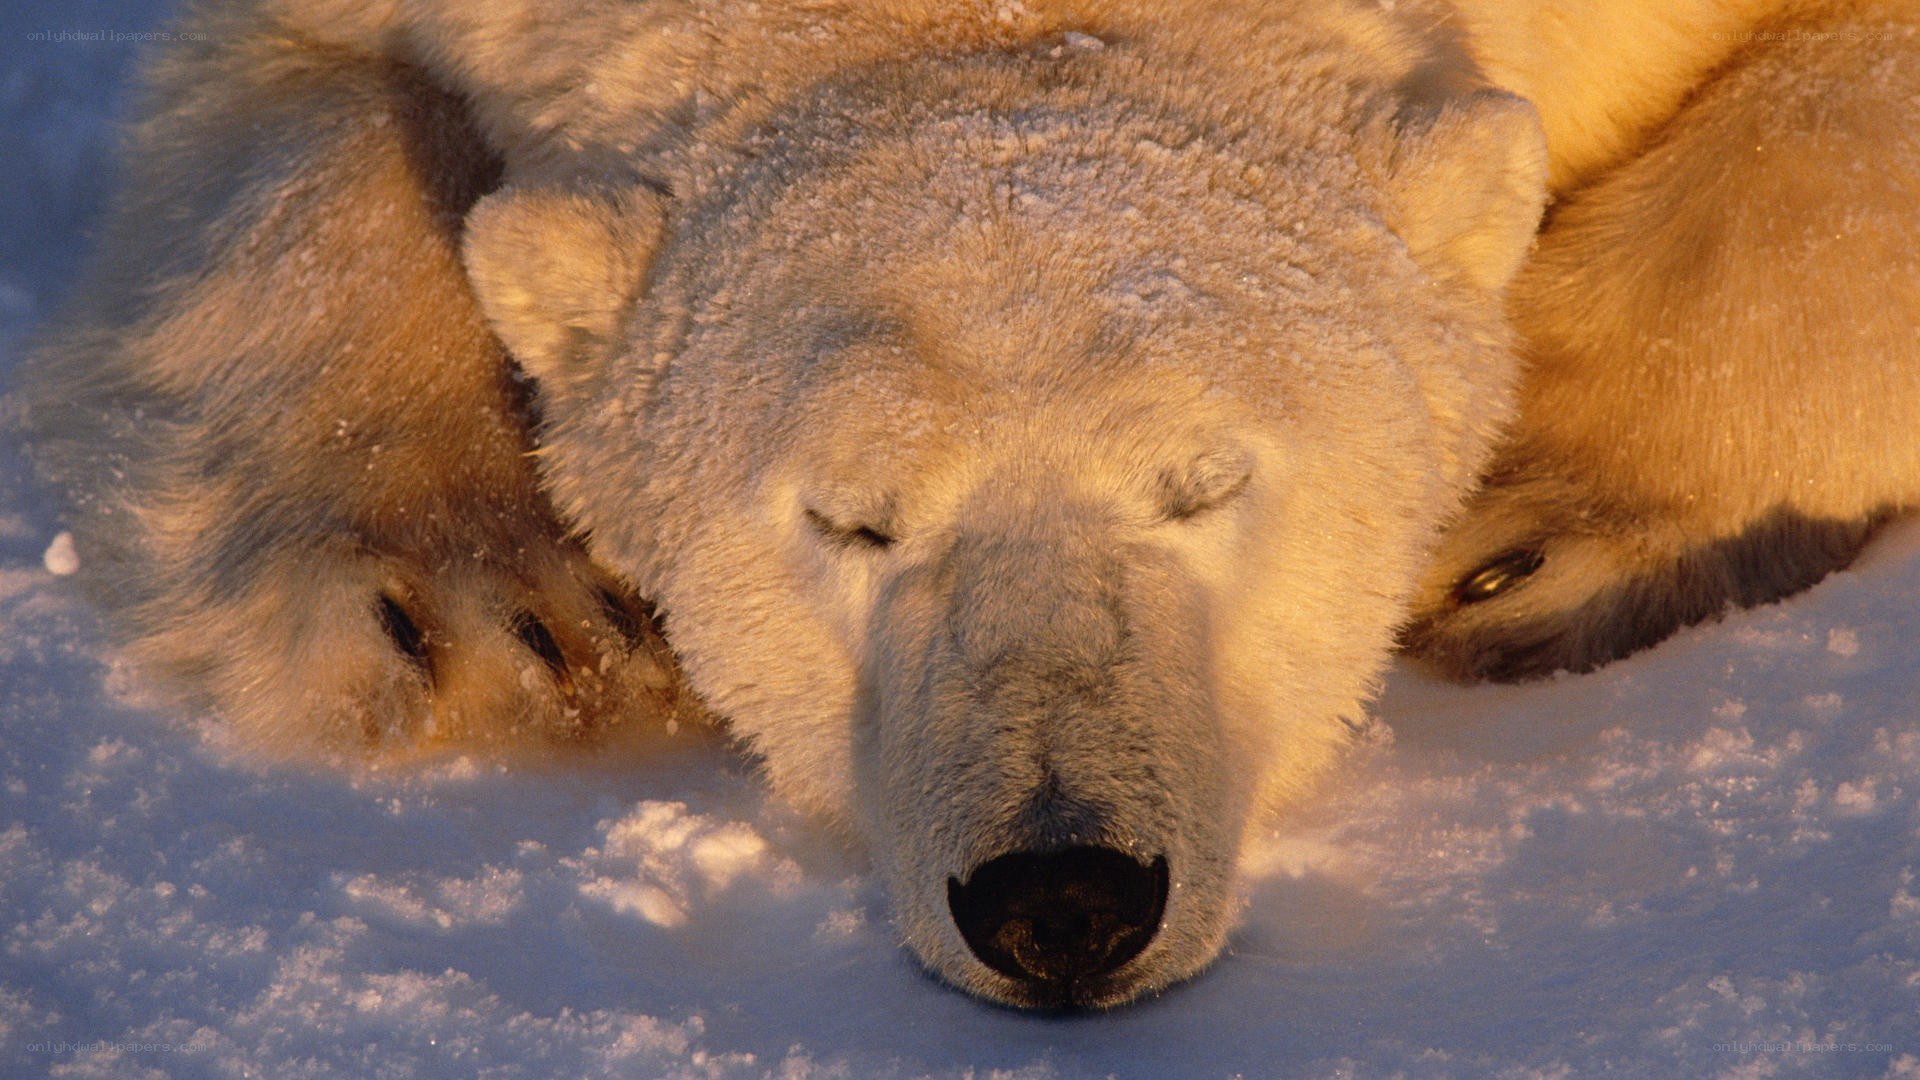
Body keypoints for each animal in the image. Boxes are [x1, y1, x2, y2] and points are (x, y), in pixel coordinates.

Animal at [18, 0, 1913, 1008]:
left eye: (1207, 482)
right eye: (852, 521)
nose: (1060, 899)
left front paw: (1527, 524)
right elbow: (297, 122)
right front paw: (484, 615)